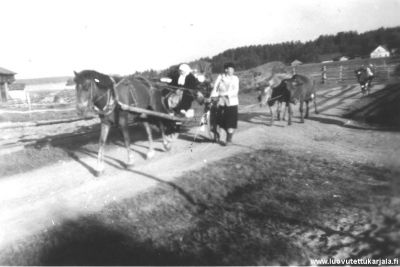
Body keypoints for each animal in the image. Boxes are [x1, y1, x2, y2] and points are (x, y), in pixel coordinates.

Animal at [74, 70, 202, 177]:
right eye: (76, 87)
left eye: (86, 86)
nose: (80, 110)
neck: (113, 98)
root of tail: (152, 83)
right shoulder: (105, 123)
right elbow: (101, 143)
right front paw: (99, 168)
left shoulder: (123, 122)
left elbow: (127, 140)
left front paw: (130, 161)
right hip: (142, 113)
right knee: (148, 129)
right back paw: (150, 152)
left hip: (155, 108)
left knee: (161, 123)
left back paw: (166, 144)